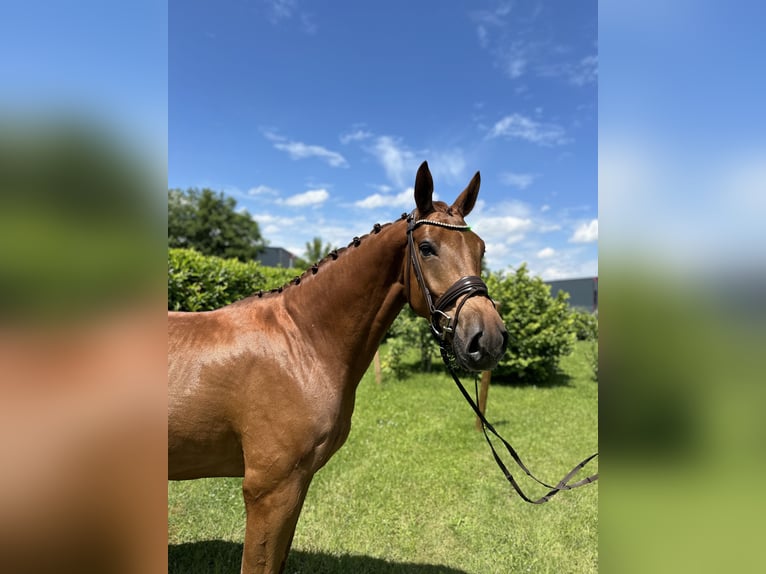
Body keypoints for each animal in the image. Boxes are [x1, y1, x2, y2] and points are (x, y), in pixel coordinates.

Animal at [168, 163, 508, 574]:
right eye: (427, 248)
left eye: (481, 249)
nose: (488, 339)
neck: (302, 343)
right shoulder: (268, 491)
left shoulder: (295, 487)